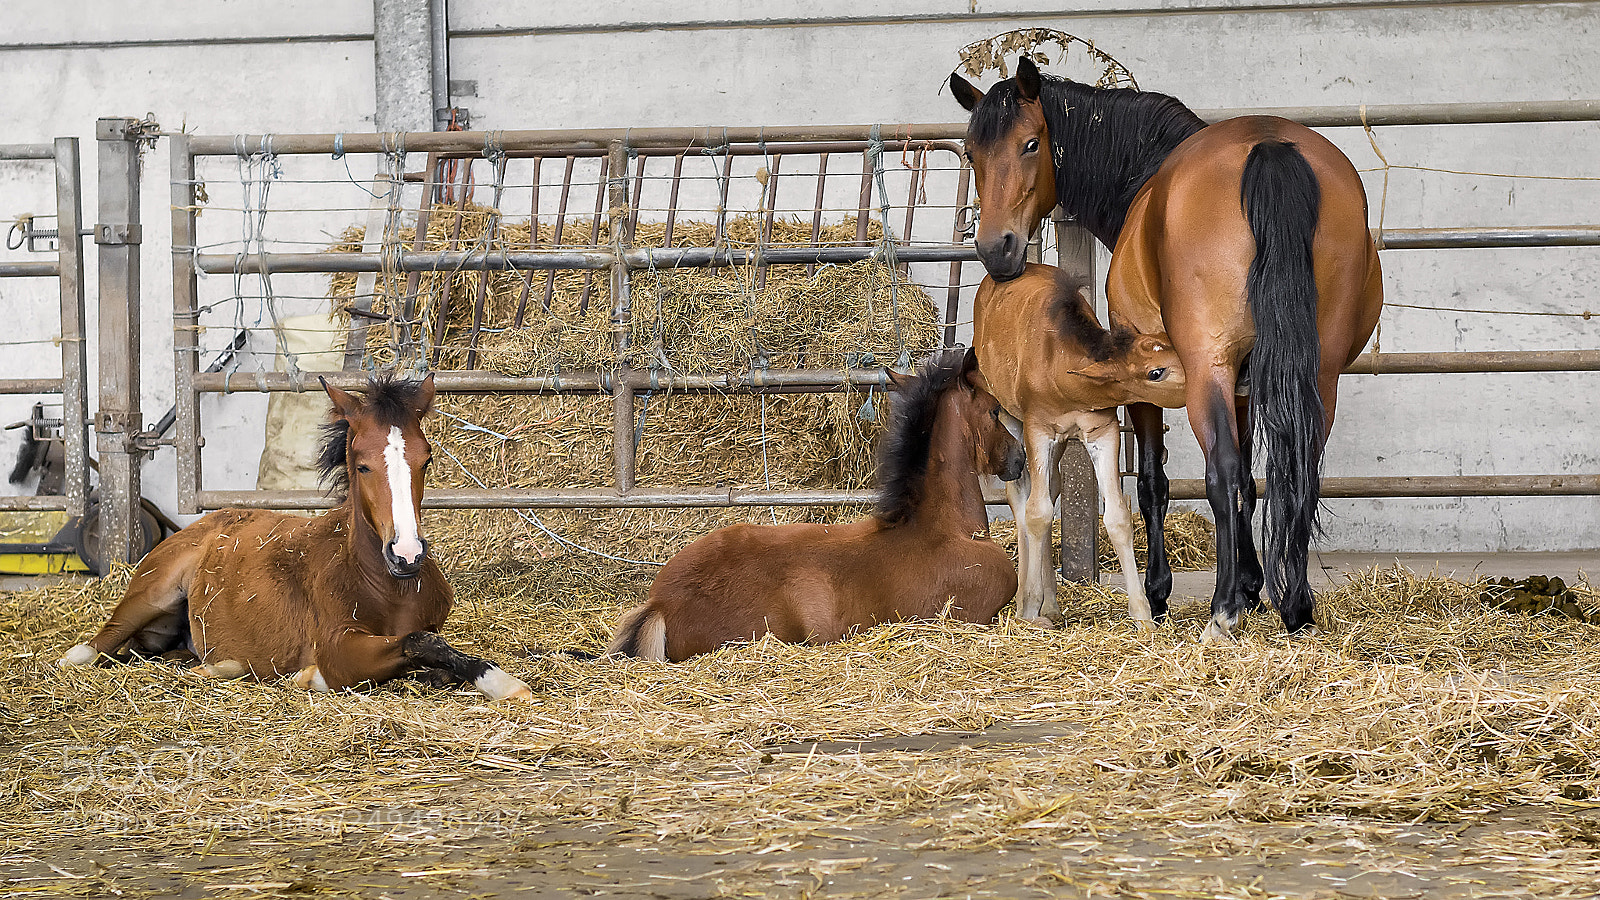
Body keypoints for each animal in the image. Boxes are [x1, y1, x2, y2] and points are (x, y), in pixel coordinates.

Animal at [58, 374, 533, 701]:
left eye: (426, 459)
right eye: (362, 464)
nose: (407, 554)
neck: (388, 587)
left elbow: (435, 651)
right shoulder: (339, 649)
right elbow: (420, 643)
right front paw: (504, 682)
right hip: (152, 592)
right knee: (94, 647)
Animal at [971, 263, 1187, 627]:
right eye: (1156, 372)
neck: (1061, 362)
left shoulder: (1103, 431)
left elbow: (1117, 516)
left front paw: (1143, 615)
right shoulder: (1038, 429)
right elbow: (1037, 513)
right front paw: (1029, 607)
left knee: (1052, 485)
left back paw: (1051, 603)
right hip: (1010, 417)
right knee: (1021, 496)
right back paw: (1026, 601)